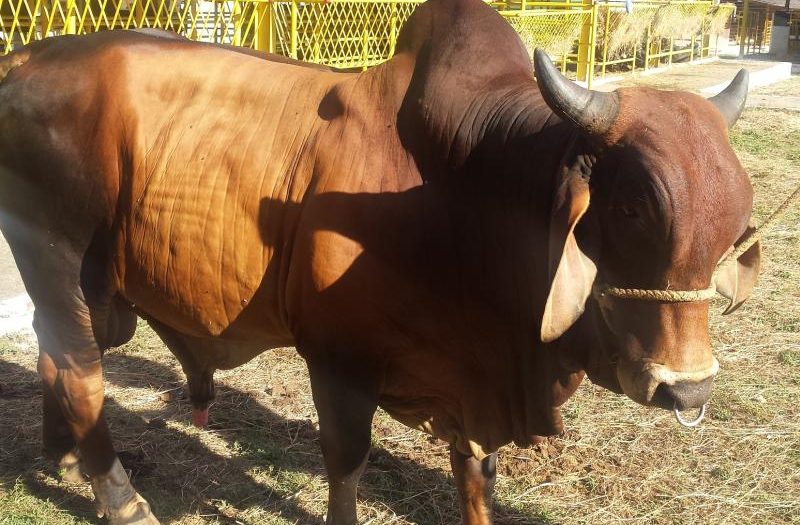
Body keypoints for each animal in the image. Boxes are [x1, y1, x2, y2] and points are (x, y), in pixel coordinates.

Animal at [0, 0, 760, 520]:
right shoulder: (339, 362)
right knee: (78, 373)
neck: (467, 189)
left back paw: (64, 458)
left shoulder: (471, 382)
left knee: (53, 359)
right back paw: (120, 496)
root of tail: (24, 60)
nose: (689, 390)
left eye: (731, 225)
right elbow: (347, 467)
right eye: (631, 207)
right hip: (56, 262)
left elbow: (474, 473)